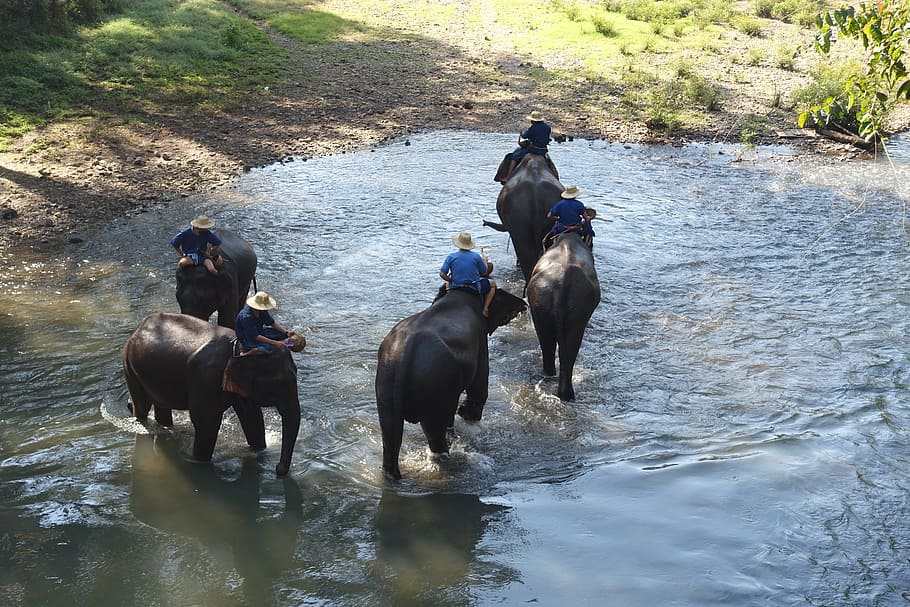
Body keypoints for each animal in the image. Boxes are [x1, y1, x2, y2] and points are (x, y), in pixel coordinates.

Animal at [122, 312, 301, 476]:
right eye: (279, 383)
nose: (278, 469)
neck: (238, 345)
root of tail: (139, 327)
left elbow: (252, 416)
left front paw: (260, 452)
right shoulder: (204, 380)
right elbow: (207, 423)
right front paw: (200, 463)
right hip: (129, 365)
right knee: (142, 407)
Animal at [375, 286, 527, 480]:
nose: (524, 305)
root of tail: (404, 356)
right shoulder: (480, 340)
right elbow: (479, 383)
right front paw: (468, 417)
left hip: (386, 381)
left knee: (390, 433)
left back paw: (393, 476)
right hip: (433, 384)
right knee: (435, 433)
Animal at [526, 232, 601, 401]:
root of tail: (561, 286)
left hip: (541, 303)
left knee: (552, 345)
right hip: (576, 309)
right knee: (568, 347)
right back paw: (566, 394)